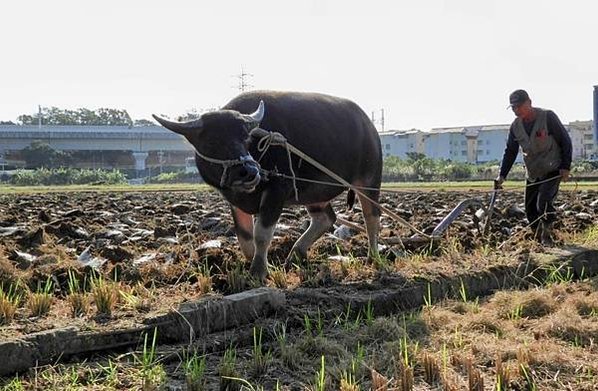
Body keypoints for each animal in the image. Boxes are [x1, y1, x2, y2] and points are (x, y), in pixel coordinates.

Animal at [152, 91, 382, 282]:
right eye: (211, 142)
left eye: (245, 137)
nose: (249, 171)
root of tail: (368, 125)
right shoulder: (234, 200)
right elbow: (245, 238)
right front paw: (253, 262)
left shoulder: (277, 190)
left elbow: (262, 233)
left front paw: (259, 272)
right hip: (315, 192)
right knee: (325, 218)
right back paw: (295, 254)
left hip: (369, 180)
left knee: (371, 216)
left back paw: (373, 257)